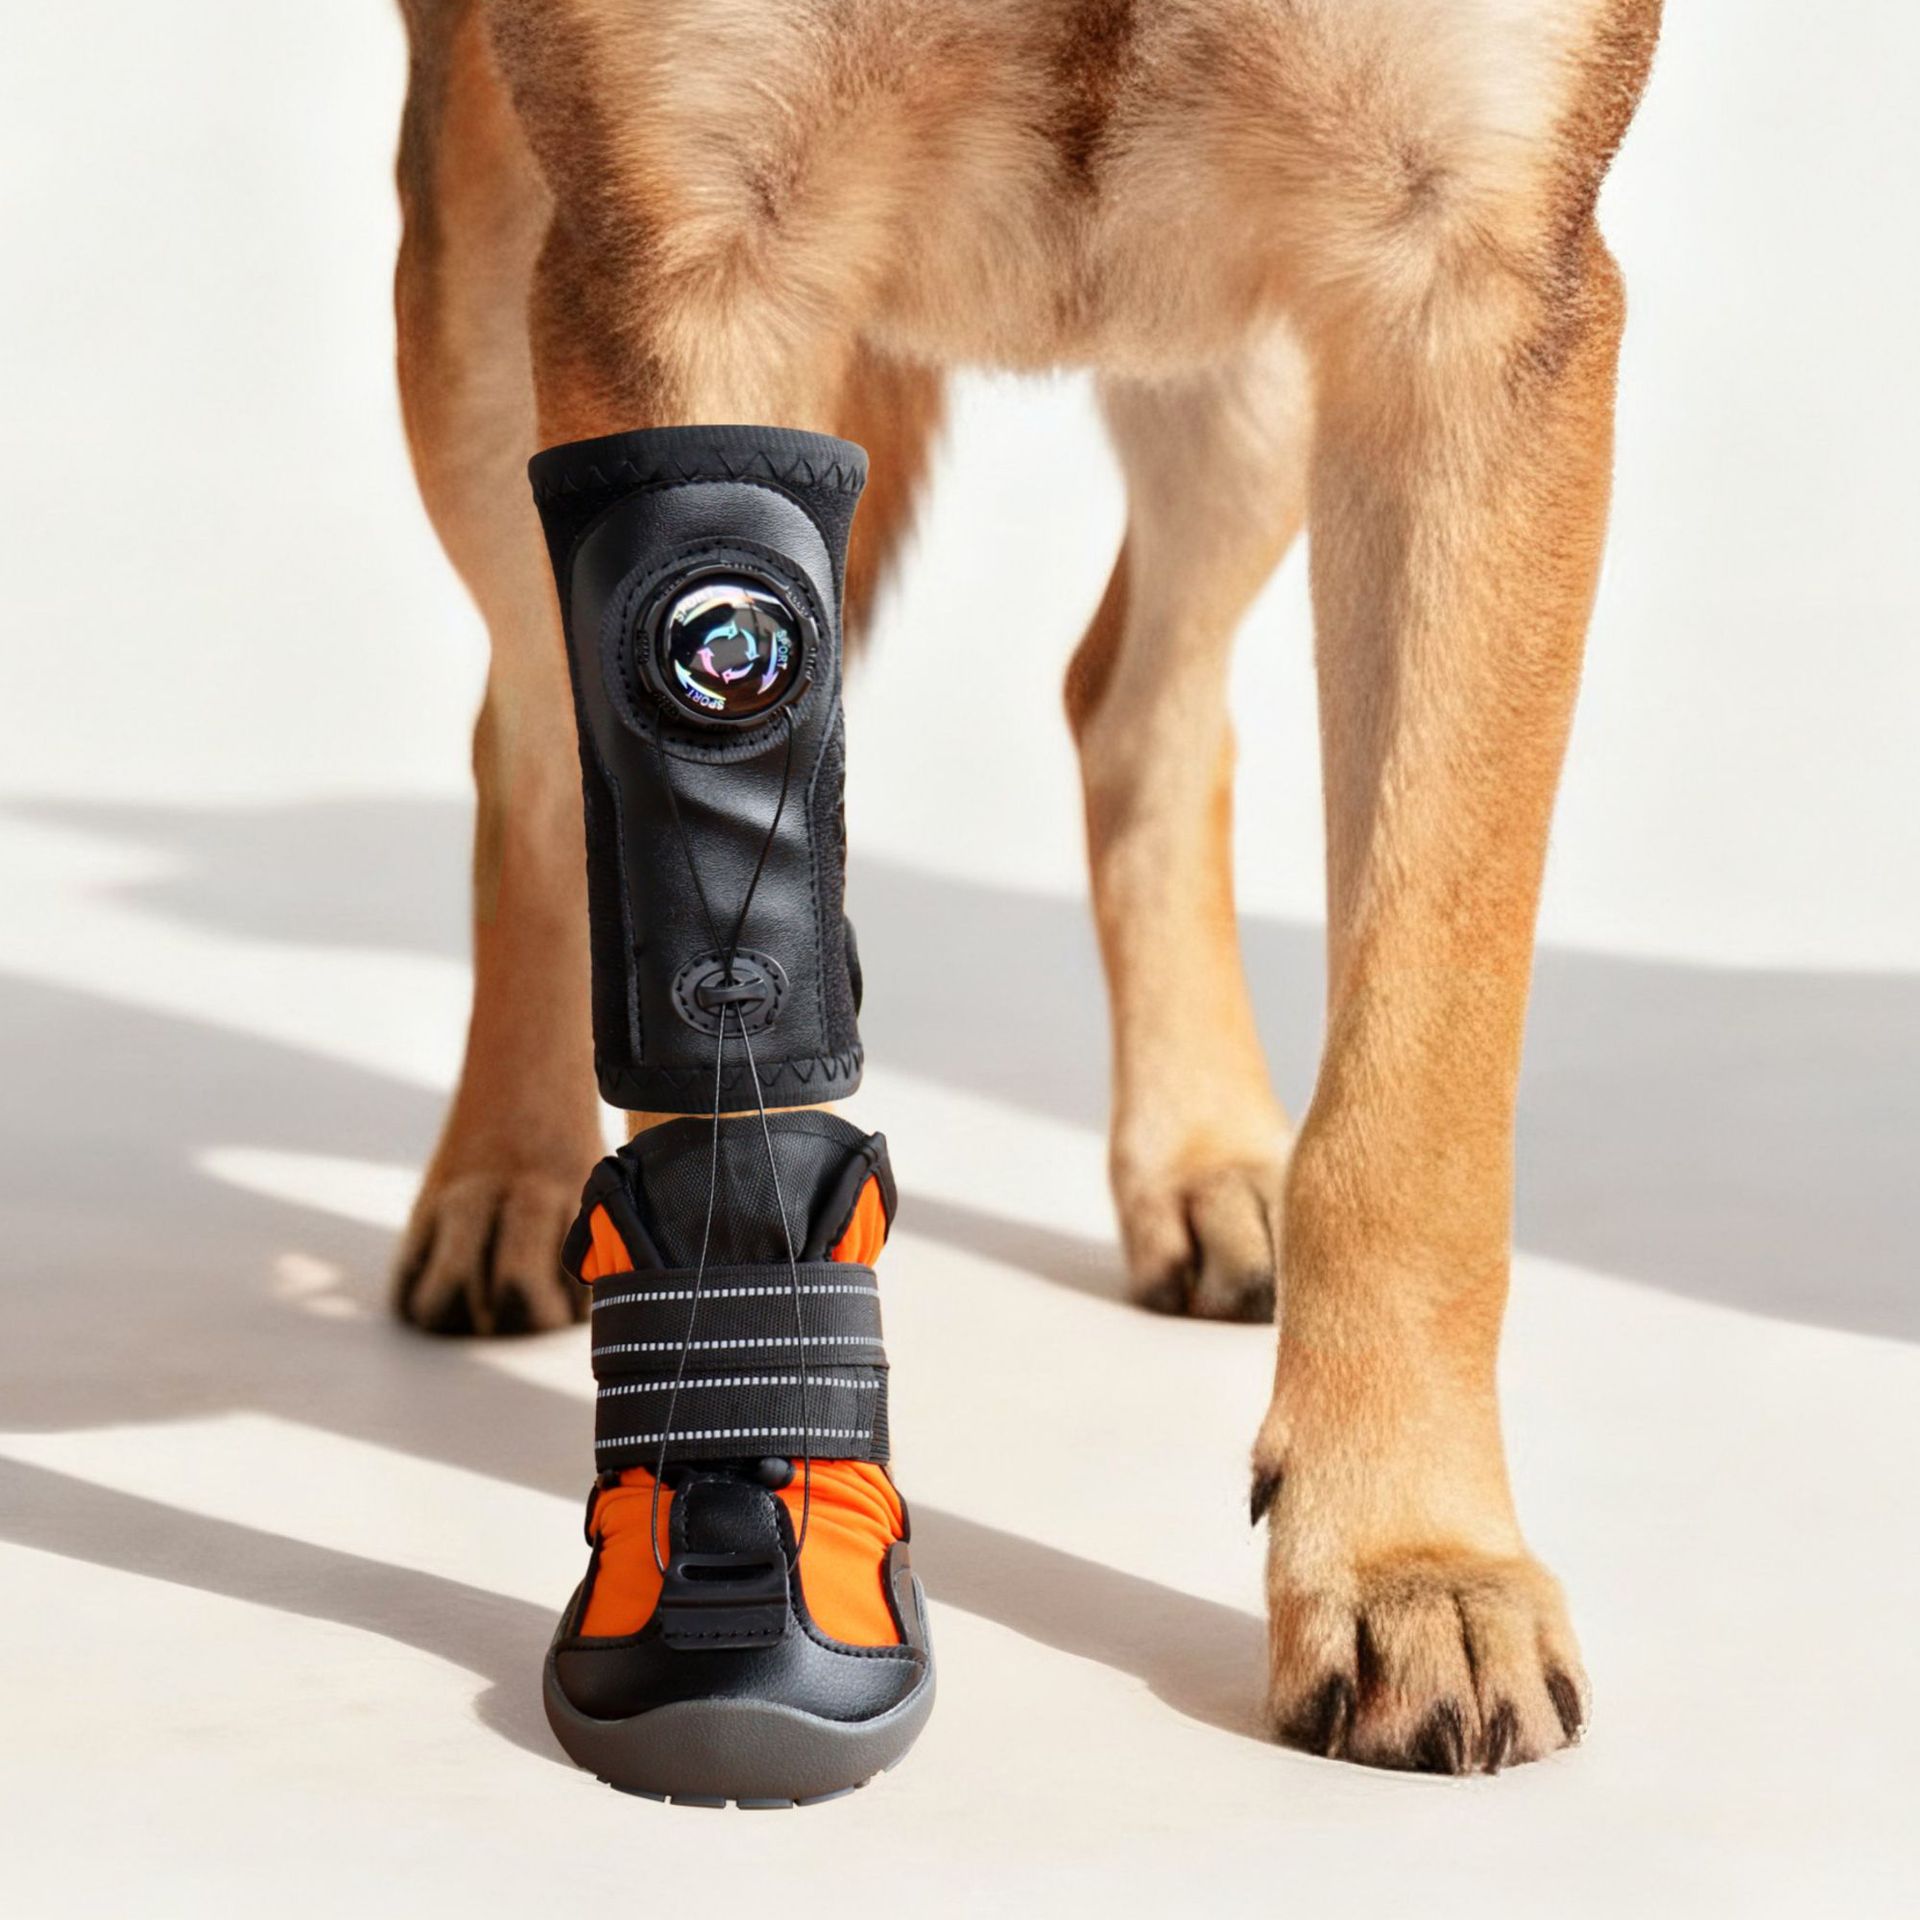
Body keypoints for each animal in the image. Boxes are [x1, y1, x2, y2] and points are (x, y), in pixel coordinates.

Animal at [389, 0, 1661, 1773]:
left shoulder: (1456, 298)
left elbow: (1415, 1099)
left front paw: (1413, 1561)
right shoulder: (686, 275)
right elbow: (721, 1074)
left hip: (1248, 379)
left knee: (1136, 699)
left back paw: (1210, 1159)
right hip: (477, 285)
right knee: (522, 740)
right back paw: (503, 1180)